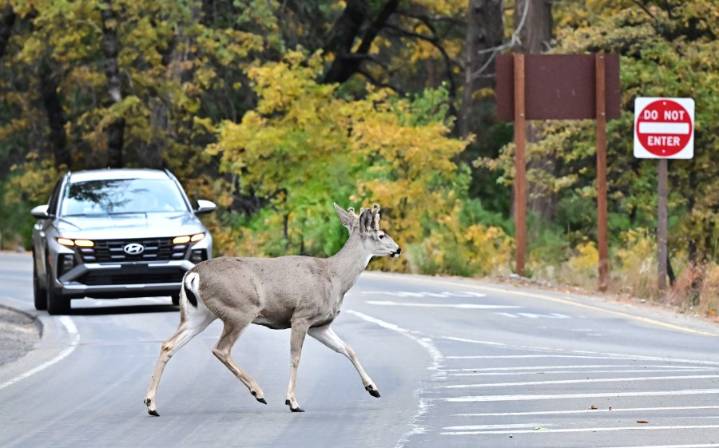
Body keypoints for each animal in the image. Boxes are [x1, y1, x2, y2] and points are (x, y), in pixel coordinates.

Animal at [144, 203, 401, 415]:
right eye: (381, 234)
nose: (397, 249)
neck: (335, 277)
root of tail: (193, 274)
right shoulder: (302, 316)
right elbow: (296, 357)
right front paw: (292, 402)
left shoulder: (320, 325)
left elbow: (348, 349)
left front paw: (373, 388)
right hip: (239, 310)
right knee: (220, 349)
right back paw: (258, 392)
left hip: (198, 314)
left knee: (168, 345)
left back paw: (151, 404)